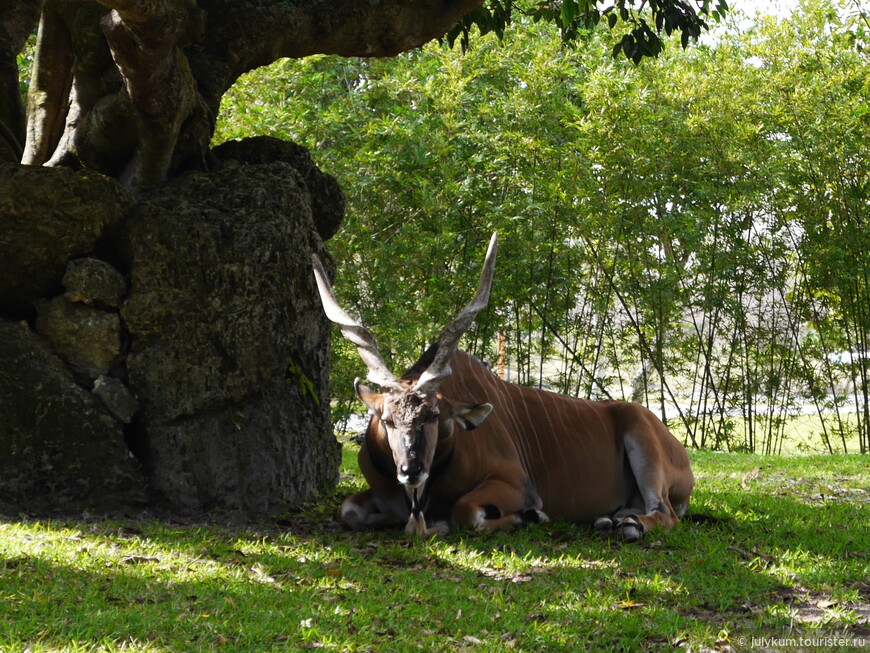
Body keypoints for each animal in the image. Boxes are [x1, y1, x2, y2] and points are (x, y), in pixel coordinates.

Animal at [314, 236, 696, 540]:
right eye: (388, 420)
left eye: (434, 415)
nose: (411, 470)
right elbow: (348, 511)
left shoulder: (516, 484)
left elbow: (466, 512)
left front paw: (529, 517)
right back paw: (610, 520)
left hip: (644, 443)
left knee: (666, 513)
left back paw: (630, 526)